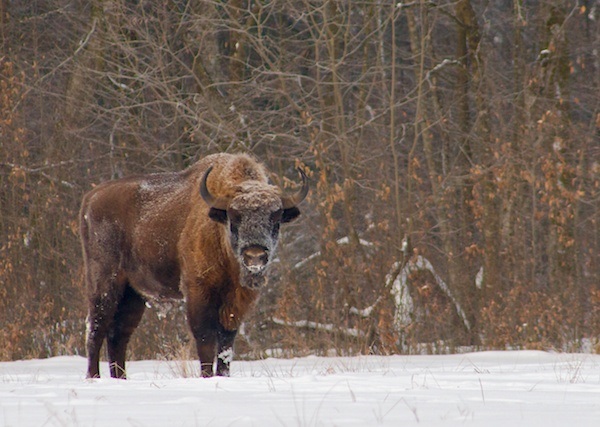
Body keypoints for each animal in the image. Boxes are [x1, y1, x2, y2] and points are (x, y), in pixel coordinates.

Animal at [81, 153, 310, 378]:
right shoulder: (198, 292)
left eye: (276, 219)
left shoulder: (235, 303)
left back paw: (120, 378)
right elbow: (205, 339)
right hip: (104, 285)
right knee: (96, 328)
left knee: (118, 334)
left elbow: (226, 345)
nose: (255, 256)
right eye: (234, 218)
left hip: (133, 294)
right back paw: (94, 377)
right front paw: (207, 376)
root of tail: (91, 197)